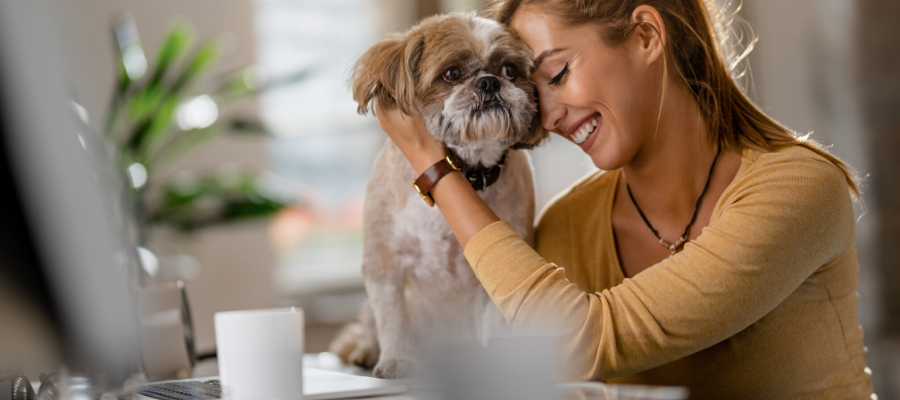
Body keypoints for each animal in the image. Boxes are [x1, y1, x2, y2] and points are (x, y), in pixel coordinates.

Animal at [326, 10, 544, 378]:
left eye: (510, 70)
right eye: (452, 73)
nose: (489, 82)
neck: (465, 171)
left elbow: (497, 319)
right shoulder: (384, 263)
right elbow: (393, 317)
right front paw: (397, 358)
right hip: (368, 310)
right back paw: (366, 352)